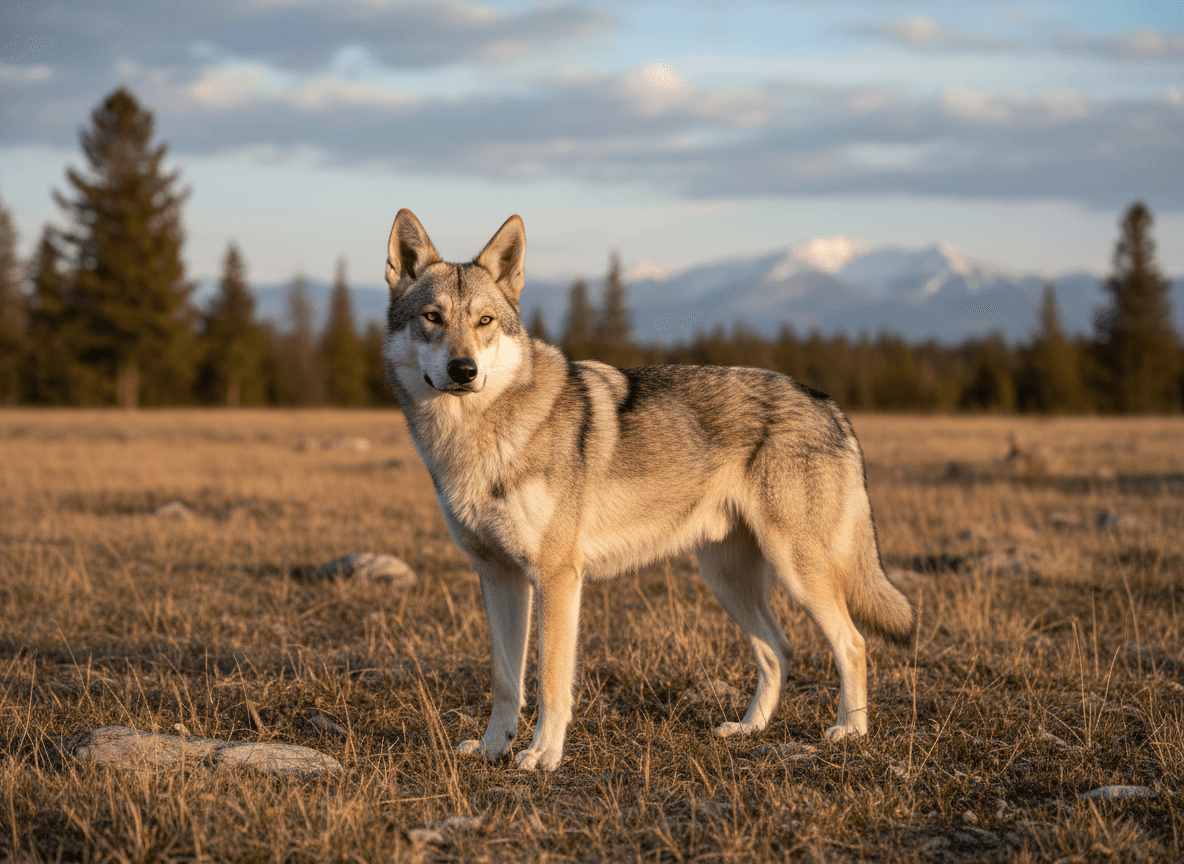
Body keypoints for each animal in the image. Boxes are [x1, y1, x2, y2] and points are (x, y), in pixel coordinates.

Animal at [382, 209, 915, 771]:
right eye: (433, 318)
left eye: (484, 322)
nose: (464, 371)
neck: (473, 437)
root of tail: (826, 401)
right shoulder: (499, 577)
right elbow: (506, 681)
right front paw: (491, 749)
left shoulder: (556, 577)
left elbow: (550, 680)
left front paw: (543, 755)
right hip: (726, 578)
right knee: (779, 649)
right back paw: (748, 728)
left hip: (798, 571)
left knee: (852, 643)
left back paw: (849, 731)